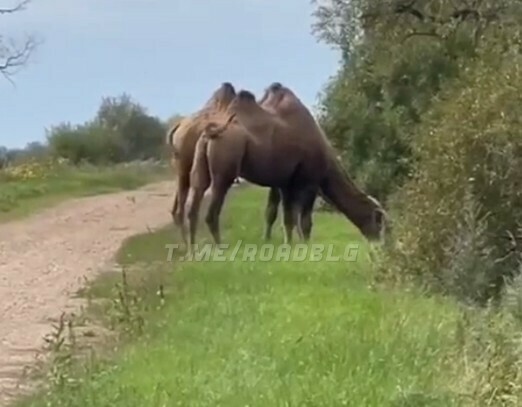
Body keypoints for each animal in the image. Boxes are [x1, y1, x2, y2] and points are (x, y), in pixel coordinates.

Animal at [185, 83, 384, 249]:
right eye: (379, 221)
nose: (381, 244)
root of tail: (209, 133)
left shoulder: (285, 183)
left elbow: (286, 217)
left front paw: (288, 246)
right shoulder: (310, 182)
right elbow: (305, 220)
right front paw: (306, 247)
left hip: (201, 163)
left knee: (194, 202)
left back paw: (193, 249)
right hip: (224, 169)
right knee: (211, 213)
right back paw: (220, 248)